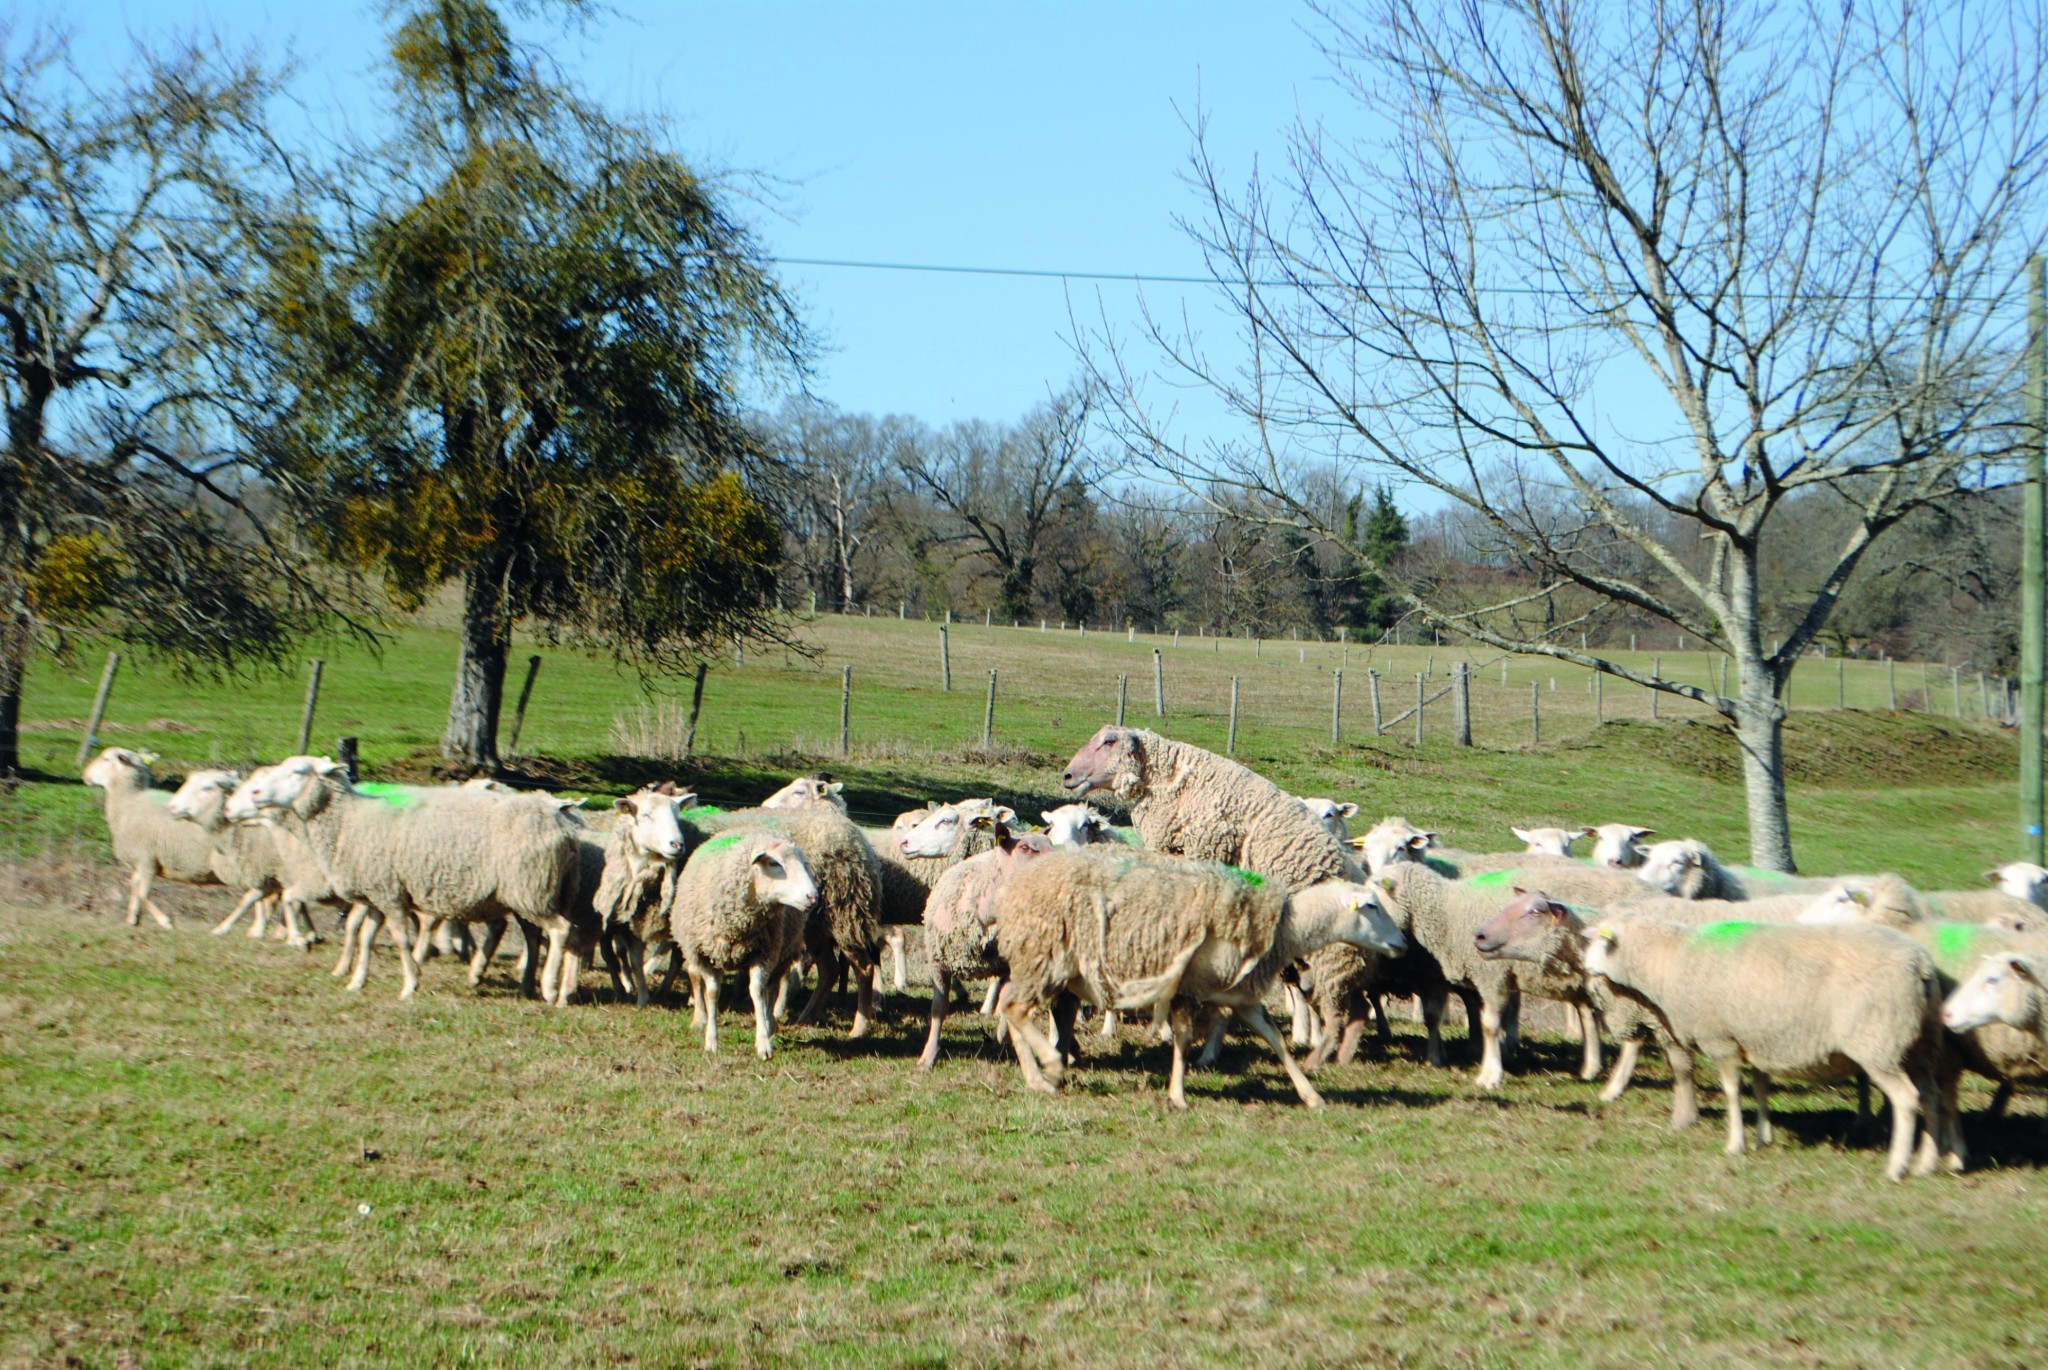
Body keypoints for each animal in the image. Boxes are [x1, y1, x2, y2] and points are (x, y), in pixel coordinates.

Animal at [81, 749, 220, 929]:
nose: (85, 775)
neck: (130, 802)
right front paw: (132, 919)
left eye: (105, 758)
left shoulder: (147, 860)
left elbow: (142, 894)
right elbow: (134, 887)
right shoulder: (138, 862)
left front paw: (165, 921)